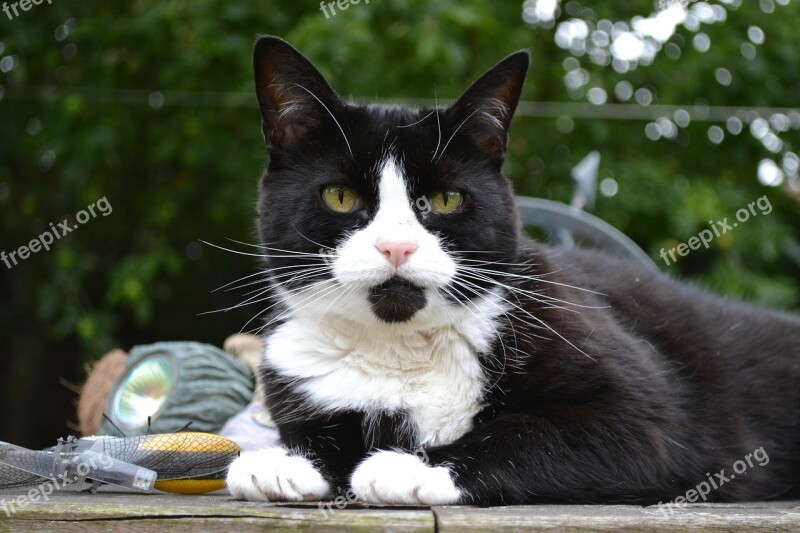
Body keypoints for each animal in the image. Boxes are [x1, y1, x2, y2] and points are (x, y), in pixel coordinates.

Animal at [225, 36, 800, 502]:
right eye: (340, 196)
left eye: (448, 198)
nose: (396, 247)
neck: (400, 347)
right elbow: (321, 432)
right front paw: (287, 461)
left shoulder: (645, 416)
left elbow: (527, 431)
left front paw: (409, 468)